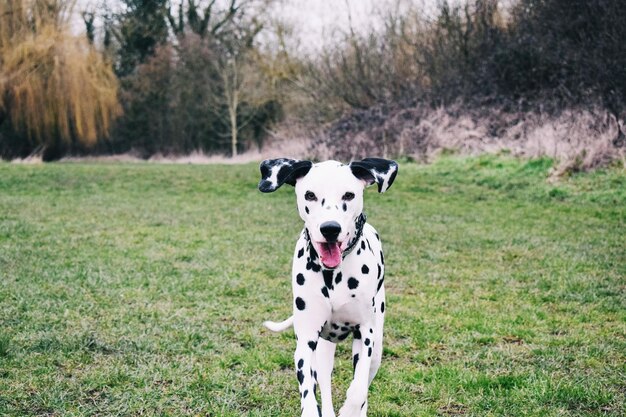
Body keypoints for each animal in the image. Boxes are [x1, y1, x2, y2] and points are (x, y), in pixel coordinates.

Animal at [258, 158, 394, 414]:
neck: (333, 277)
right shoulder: (306, 339)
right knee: (323, 381)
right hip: (322, 350)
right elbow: (309, 393)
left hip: (377, 347)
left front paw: (350, 411)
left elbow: (358, 391)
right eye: (310, 195)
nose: (330, 228)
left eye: (349, 195)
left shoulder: (365, 334)